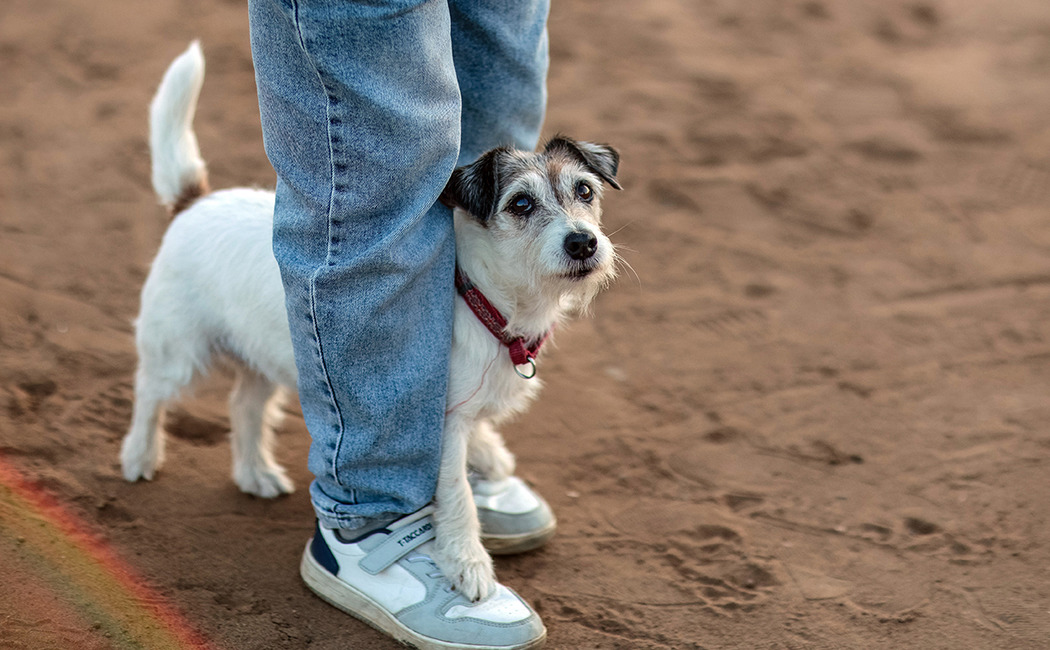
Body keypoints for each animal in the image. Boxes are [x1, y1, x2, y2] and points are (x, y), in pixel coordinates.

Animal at [120, 39, 617, 600]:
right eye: (521, 203)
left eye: (585, 191)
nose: (583, 242)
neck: (481, 294)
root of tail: (195, 201)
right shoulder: (440, 427)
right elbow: (458, 499)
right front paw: (468, 566)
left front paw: (491, 457)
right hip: (175, 351)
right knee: (149, 394)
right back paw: (139, 457)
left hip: (265, 356)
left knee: (243, 406)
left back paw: (255, 473)